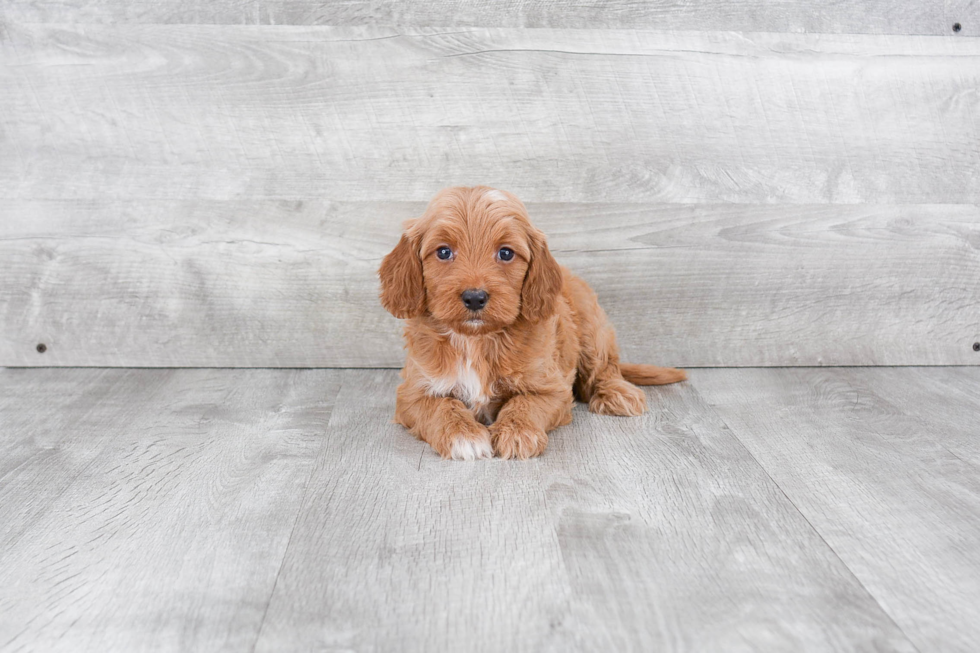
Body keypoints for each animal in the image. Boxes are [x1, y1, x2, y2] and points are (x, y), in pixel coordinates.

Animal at [378, 183, 684, 458]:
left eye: (505, 253)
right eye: (443, 252)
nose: (475, 298)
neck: (477, 341)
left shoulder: (552, 389)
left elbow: (525, 403)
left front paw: (517, 432)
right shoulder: (412, 393)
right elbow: (441, 407)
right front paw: (462, 436)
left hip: (591, 328)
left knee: (604, 368)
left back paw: (618, 393)